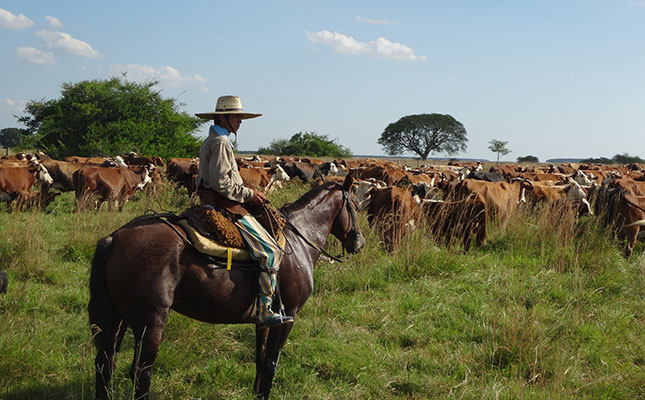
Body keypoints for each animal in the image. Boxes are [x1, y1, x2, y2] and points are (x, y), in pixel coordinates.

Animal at [88, 175, 364, 400]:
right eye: (356, 206)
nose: (358, 242)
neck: (298, 242)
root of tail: (115, 237)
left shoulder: (265, 320)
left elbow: (261, 361)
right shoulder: (288, 316)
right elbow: (271, 364)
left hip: (120, 318)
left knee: (105, 363)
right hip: (150, 323)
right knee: (141, 373)